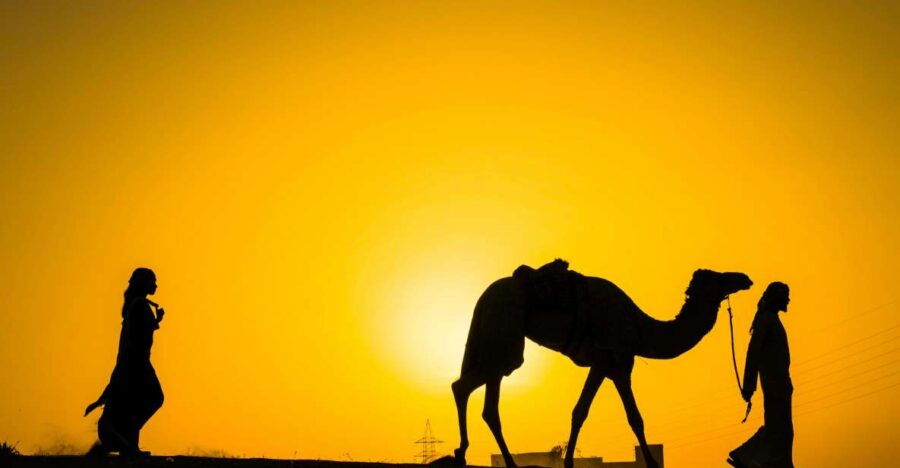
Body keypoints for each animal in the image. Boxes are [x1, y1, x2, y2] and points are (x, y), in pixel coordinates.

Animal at [450, 261, 752, 468]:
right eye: (718, 278)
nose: (744, 278)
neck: (640, 329)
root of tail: (483, 297)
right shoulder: (608, 359)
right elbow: (590, 412)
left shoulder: (616, 367)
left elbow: (624, 416)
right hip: (505, 332)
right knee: (490, 403)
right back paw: (509, 462)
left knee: (461, 385)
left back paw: (461, 452)